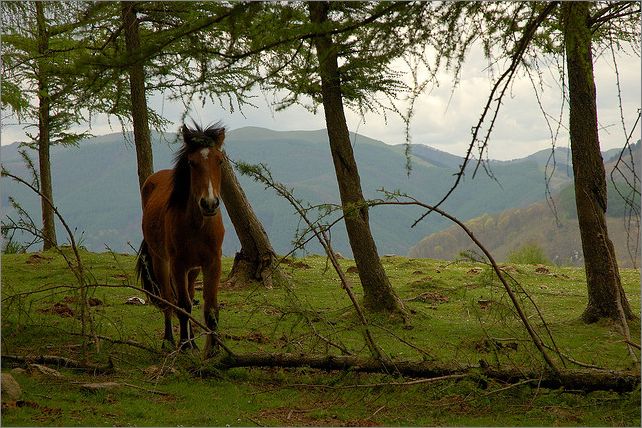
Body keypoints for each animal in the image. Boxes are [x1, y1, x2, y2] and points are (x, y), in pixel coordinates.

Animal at [135, 122, 225, 356]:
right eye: (192, 163)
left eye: (219, 161)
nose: (209, 203)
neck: (197, 225)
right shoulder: (177, 264)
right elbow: (182, 306)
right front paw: (183, 345)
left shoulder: (212, 263)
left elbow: (210, 308)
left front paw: (213, 351)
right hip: (161, 262)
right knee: (169, 300)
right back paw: (169, 340)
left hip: (193, 270)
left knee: (190, 296)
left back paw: (193, 342)